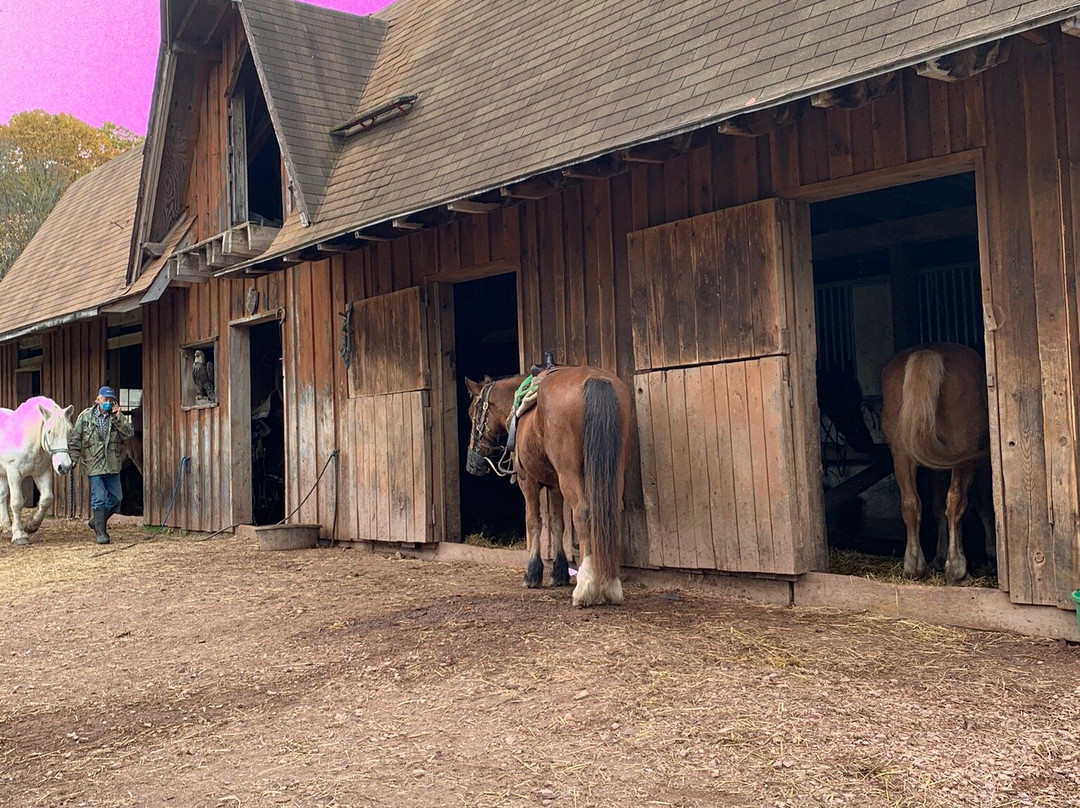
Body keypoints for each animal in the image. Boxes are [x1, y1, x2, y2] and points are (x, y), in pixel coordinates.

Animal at [0, 395, 73, 546]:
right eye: (49, 432)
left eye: (69, 432)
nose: (64, 466)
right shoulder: (14, 473)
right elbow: (16, 502)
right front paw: (20, 536)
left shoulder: (41, 473)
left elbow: (46, 498)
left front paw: (31, 526)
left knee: (2, 496)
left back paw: (7, 529)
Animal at [881, 343, 989, 583]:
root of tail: (928, 352)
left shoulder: (935, 467)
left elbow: (937, 506)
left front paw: (939, 558)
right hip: (962, 458)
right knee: (956, 501)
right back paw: (957, 570)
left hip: (903, 455)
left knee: (911, 503)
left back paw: (914, 567)